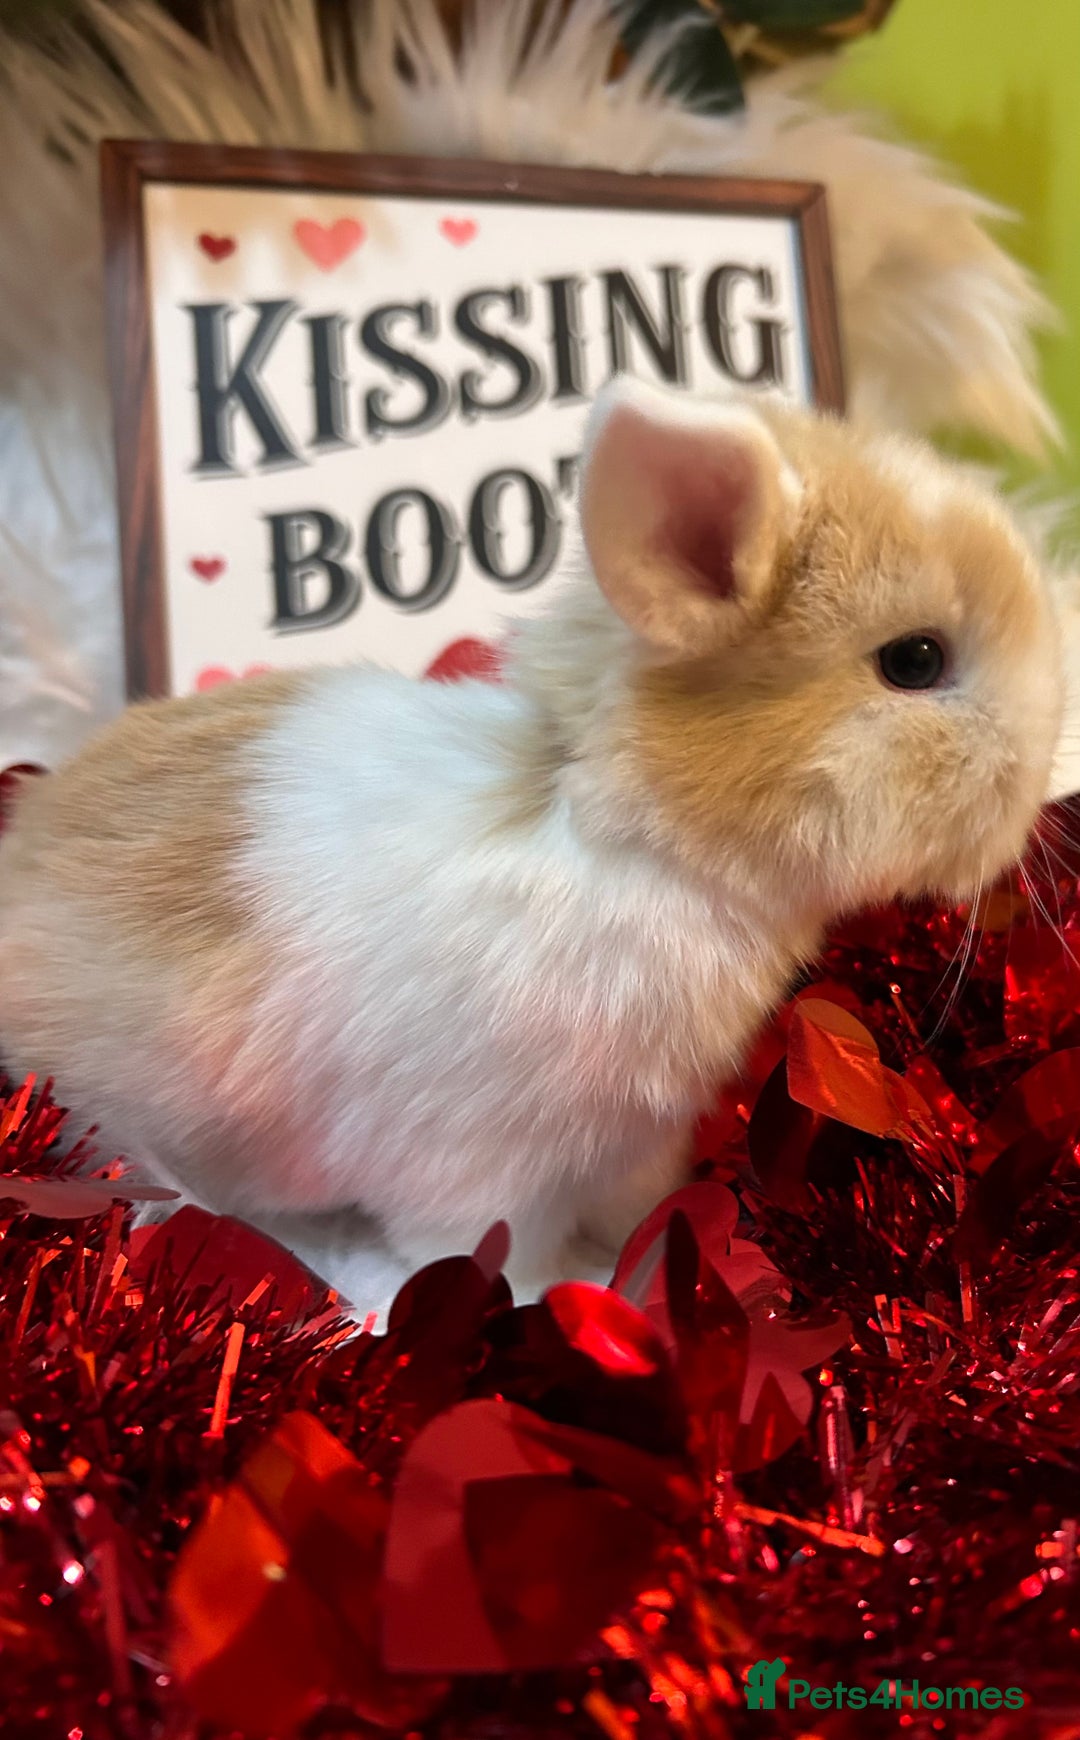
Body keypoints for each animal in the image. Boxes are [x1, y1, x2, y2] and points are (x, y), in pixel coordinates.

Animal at [0, 377, 1064, 1300]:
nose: (1045, 770)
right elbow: (484, 1253)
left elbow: (642, 1209)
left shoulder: (638, 1143)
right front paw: (549, 1298)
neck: (633, 847)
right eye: (915, 660)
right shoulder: (472, 1166)